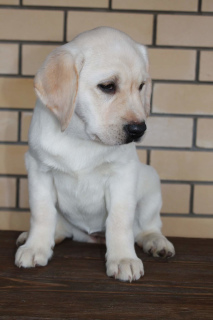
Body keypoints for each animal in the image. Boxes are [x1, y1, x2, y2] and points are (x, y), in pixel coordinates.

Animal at [15, 28, 175, 282]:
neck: (81, 137)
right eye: (108, 86)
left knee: (147, 227)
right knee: (59, 225)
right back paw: (35, 236)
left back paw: (157, 242)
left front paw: (123, 259)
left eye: (141, 86)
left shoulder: (123, 174)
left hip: (151, 180)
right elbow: (42, 213)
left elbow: (119, 219)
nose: (139, 129)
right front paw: (35, 247)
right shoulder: (38, 169)